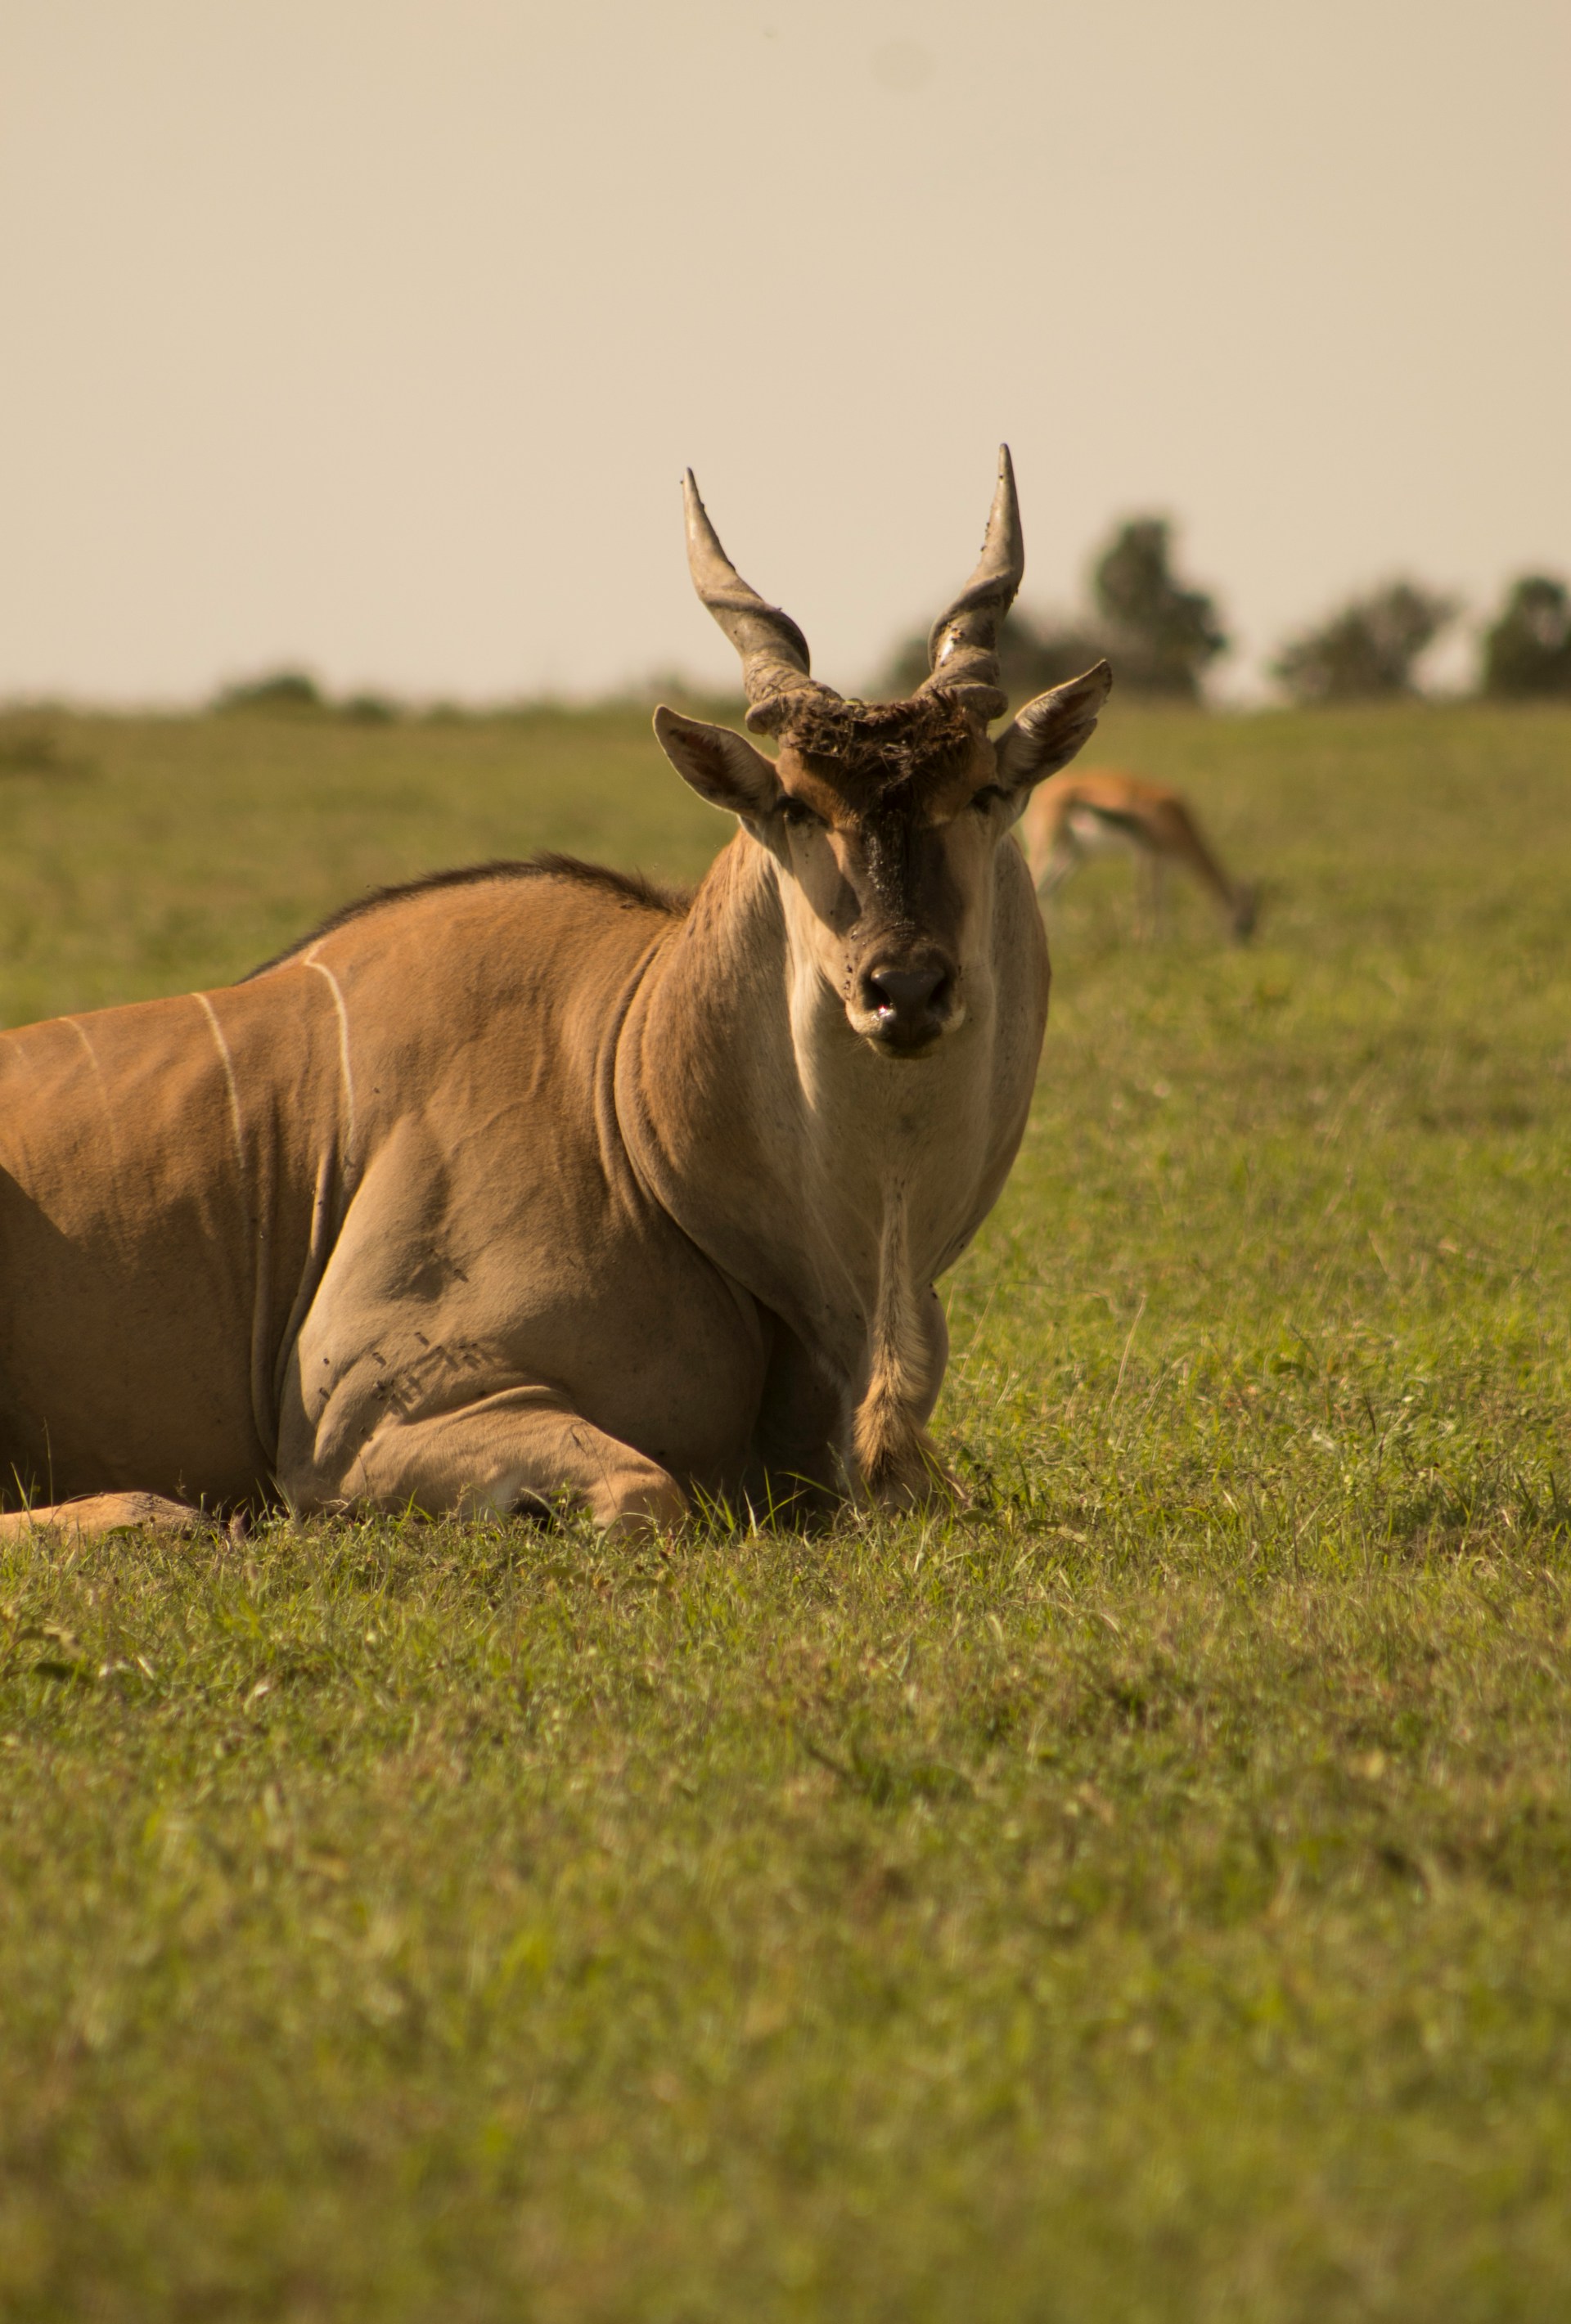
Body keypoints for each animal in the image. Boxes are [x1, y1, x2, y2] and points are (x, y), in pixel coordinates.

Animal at [0, 452, 1109, 1544]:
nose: (904, 987)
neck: (630, 1105)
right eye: (795, 805)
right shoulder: (365, 1420)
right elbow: (644, 1494)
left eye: (984, 793)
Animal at [1020, 768, 1257, 940]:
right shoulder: (1145, 853)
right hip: (1046, 849)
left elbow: (1162, 898)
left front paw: (1165, 939)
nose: (1243, 945)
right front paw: (1145, 939)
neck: (1173, 816)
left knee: (1050, 889)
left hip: (1076, 856)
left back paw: (1062, 939)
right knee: (1038, 885)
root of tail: (1042, 793)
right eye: (1246, 921)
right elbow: (1146, 897)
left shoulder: (1163, 861)